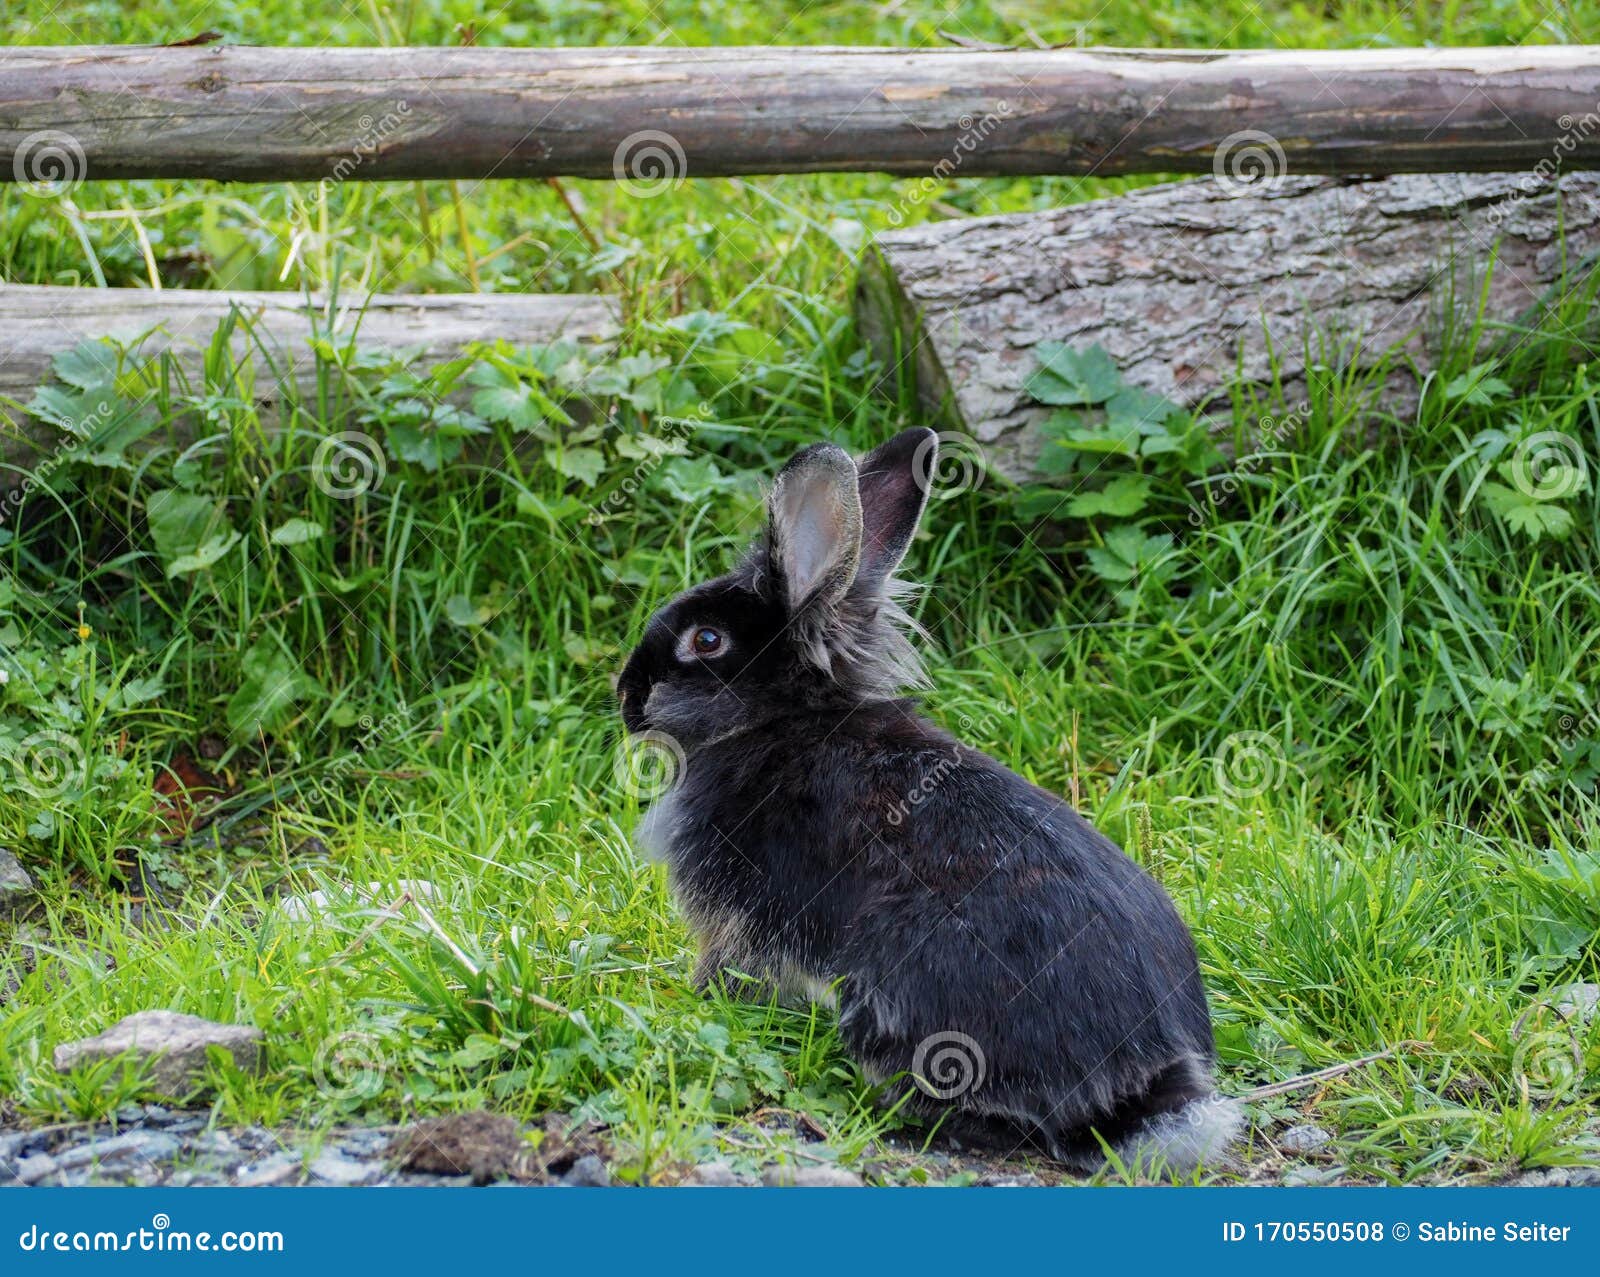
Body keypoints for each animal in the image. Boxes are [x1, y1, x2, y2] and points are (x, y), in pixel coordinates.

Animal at [616, 427, 1240, 1172]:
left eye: (705, 640)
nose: (624, 697)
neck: (780, 719)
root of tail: (1139, 1095)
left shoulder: (743, 912)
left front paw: (703, 1001)